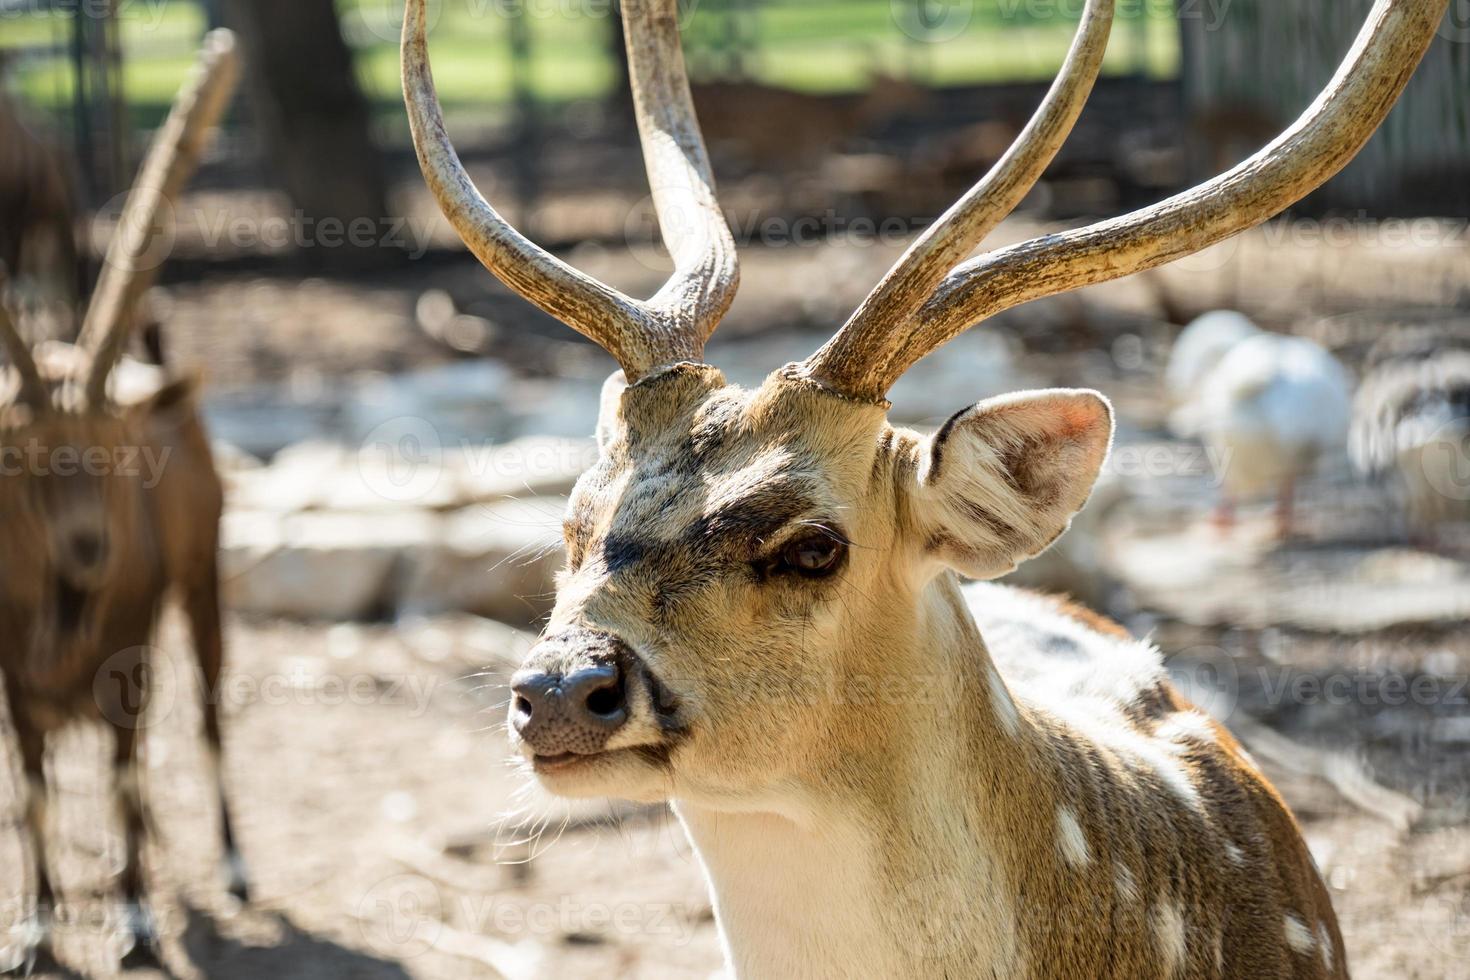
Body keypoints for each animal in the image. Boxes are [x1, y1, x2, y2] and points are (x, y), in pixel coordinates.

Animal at [0, 28, 244, 975]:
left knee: (207, 717)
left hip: (203, 578)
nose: (89, 551)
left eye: (114, 453)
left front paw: (138, 924)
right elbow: (32, 791)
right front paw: (35, 928)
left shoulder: (128, 657)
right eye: (18, 456)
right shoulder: (9, 680)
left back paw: (233, 869)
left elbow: (126, 772)